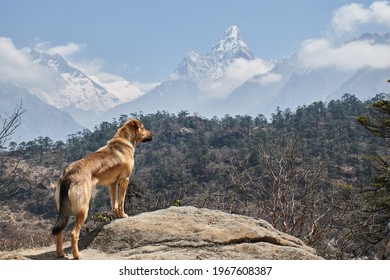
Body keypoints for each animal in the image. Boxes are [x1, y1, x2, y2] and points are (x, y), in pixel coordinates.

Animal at [52, 117, 153, 260]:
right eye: (143, 128)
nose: (153, 134)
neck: (125, 141)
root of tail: (68, 174)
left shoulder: (112, 183)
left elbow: (114, 204)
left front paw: (117, 216)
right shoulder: (124, 180)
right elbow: (121, 202)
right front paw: (123, 215)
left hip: (63, 210)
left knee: (59, 231)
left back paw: (60, 253)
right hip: (83, 209)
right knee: (73, 233)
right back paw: (77, 255)